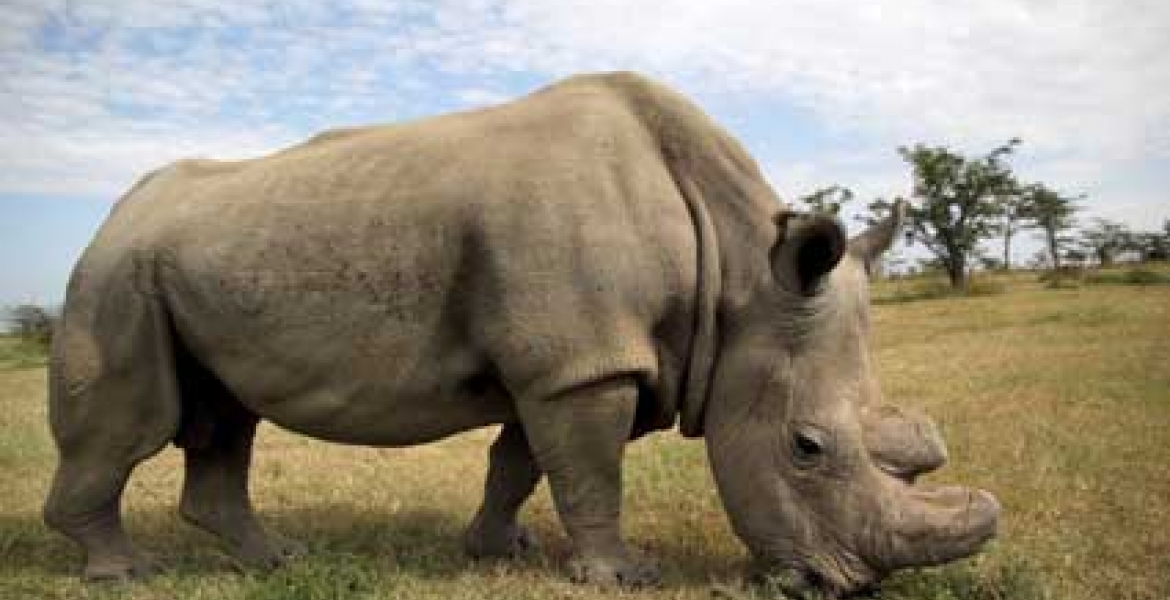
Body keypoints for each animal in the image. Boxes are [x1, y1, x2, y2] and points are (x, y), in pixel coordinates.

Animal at [44, 72, 997, 597]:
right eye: (805, 448)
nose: (848, 587)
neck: (738, 279)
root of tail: (115, 213)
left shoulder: (579, 359)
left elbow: (523, 463)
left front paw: (499, 549)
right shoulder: (584, 364)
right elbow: (589, 471)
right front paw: (625, 576)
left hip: (189, 260)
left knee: (225, 417)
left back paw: (274, 559)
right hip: (115, 276)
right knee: (133, 425)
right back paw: (126, 574)